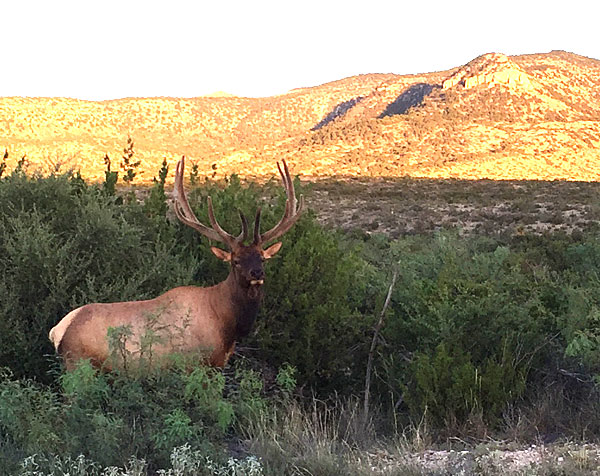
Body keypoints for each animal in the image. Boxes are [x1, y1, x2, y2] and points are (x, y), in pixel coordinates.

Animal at [48, 158, 304, 370]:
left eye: (262, 257)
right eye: (236, 260)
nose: (257, 273)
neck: (227, 324)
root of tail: (56, 331)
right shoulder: (198, 364)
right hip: (78, 364)